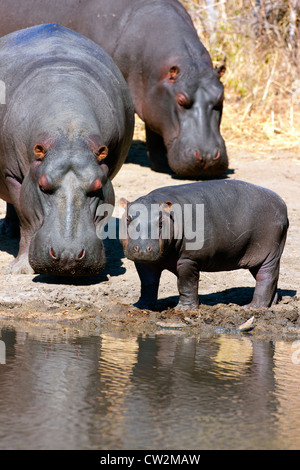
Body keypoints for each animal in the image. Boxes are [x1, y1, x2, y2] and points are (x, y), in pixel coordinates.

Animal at [0, 23, 134, 276]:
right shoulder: (12, 175)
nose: (68, 256)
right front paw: (20, 269)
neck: (69, 132)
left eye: (97, 186)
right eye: (43, 186)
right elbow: (26, 217)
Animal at [119, 182, 288, 310]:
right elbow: (148, 284)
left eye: (161, 222)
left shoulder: (189, 259)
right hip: (255, 257)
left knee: (266, 277)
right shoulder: (144, 262)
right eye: (127, 219)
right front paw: (141, 306)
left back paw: (251, 307)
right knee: (269, 280)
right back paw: (270, 305)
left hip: (269, 254)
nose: (142, 249)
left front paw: (183, 309)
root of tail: (281, 202)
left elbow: (186, 284)